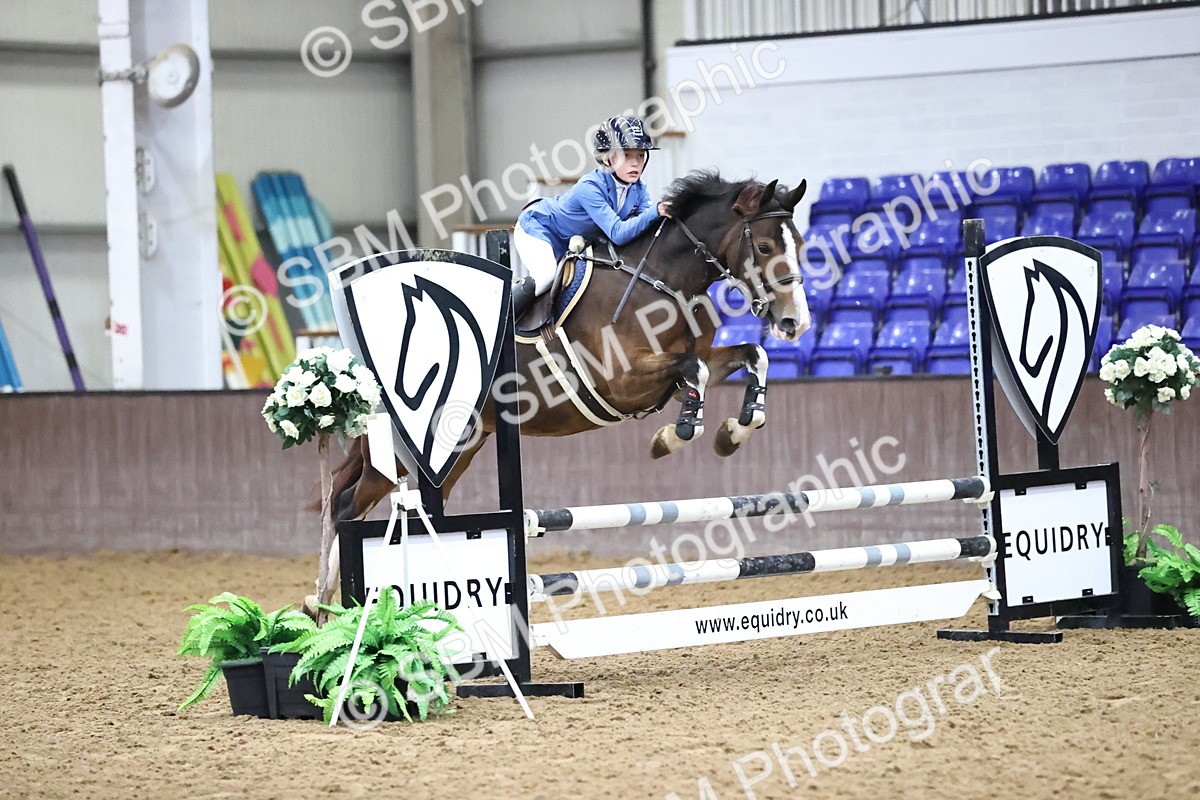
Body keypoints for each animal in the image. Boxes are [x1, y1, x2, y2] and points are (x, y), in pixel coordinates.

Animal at [315, 170, 812, 605]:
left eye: (801, 244)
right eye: (764, 245)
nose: (796, 322)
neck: (666, 282)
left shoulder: (679, 372)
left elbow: (749, 357)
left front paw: (735, 430)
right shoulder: (621, 381)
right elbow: (697, 373)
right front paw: (674, 436)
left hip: (461, 447)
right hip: (404, 454)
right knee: (345, 507)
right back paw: (330, 611)